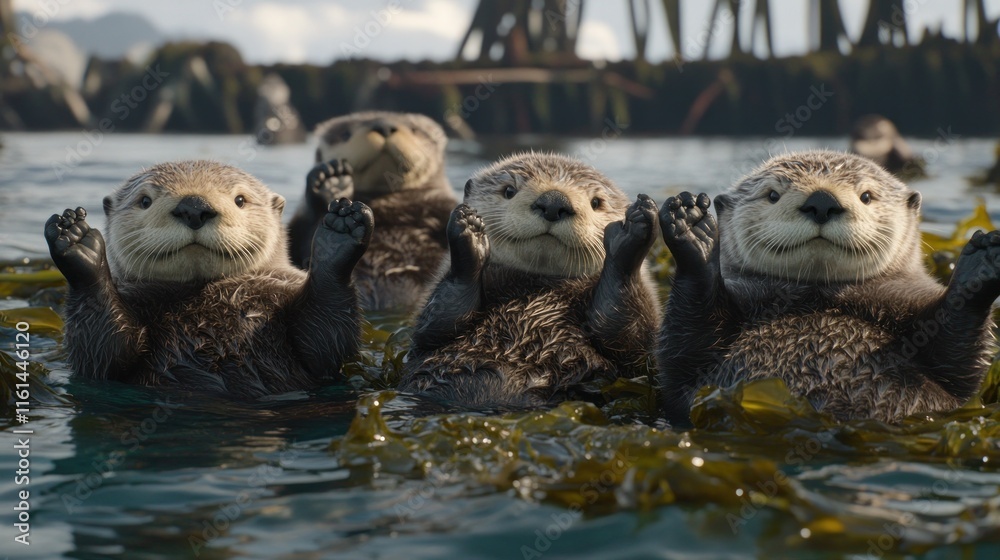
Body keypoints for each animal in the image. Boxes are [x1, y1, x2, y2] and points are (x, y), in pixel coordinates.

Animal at [44, 160, 372, 400]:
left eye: (240, 200)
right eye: (145, 200)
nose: (193, 206)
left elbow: (326, 346)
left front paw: (340, 235)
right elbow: (103, 352)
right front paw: (76, 240)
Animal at [400, 153, 661, 408]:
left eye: (596, 202)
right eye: (508, 191)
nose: (554, 202)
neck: (538, 287)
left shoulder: (631, 351)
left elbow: (627, 336)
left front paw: (632, 235)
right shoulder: (430, 335)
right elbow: (438, 322)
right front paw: (469, 232)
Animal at [658, 150, 1000, 424]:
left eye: (866, 196)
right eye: (772, 195)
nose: (821, 201)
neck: (819, 297)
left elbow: (959, 369)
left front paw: (981, 264)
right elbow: (681, 357)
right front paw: (693, 229)